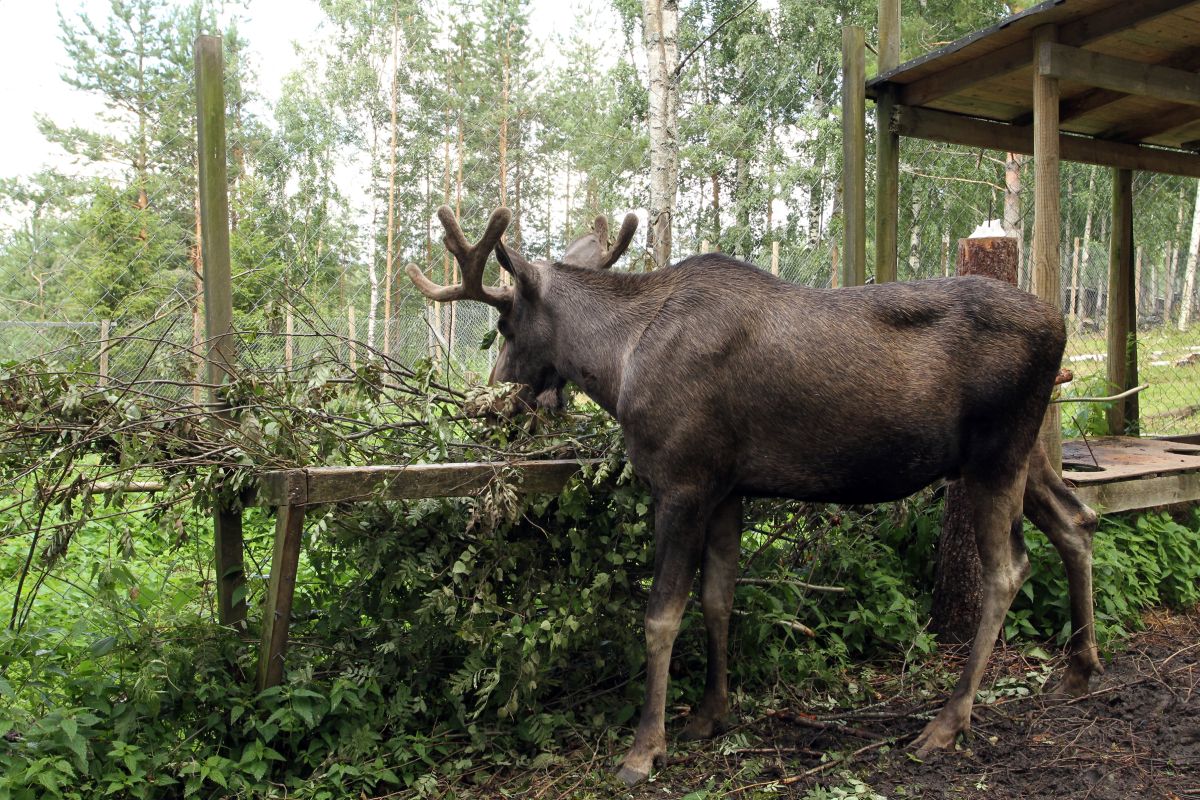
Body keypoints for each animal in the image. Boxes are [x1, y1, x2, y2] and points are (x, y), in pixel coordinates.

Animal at [408, 203, 1099, 786]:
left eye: (505, 321)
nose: (484, 402)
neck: (619, 361)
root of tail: (1061, 326)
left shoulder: (682, 481)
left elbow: (661, 615)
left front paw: (644, 749)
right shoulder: (727, 487)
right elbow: (718, 598)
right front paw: (710, 713)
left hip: (994, 456)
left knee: (1009, 569)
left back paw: (947, 723)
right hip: (1029, 450)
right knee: (1077, 519)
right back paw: (1079, 668)